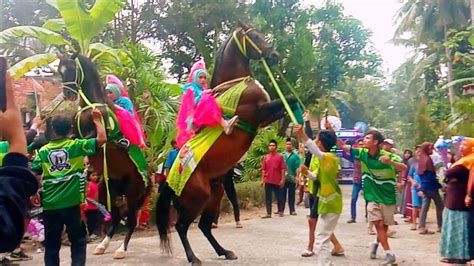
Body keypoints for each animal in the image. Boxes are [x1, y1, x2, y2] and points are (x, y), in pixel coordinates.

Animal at [58, 54, 149, 260]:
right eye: (60, 70)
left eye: (72, 69)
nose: (68, 95)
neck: (91, 105)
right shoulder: (75, 135)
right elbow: (70, 140)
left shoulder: (97, 137)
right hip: (108, 189)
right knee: (115, 217)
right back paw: (102, 245)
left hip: (132, 192)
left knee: (131, 220)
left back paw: (121, 249)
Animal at [156, 22, 296, 264]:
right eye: (255, 36)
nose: (274, 55)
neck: (235, 85)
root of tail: (169, 178)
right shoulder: (258, 113)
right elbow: (288, 100)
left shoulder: (264, 118)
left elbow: (290, 101)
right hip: (197, 197)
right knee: (182, 226)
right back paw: (193, 257)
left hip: (216, 193)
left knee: (204, 226)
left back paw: (225, 251)